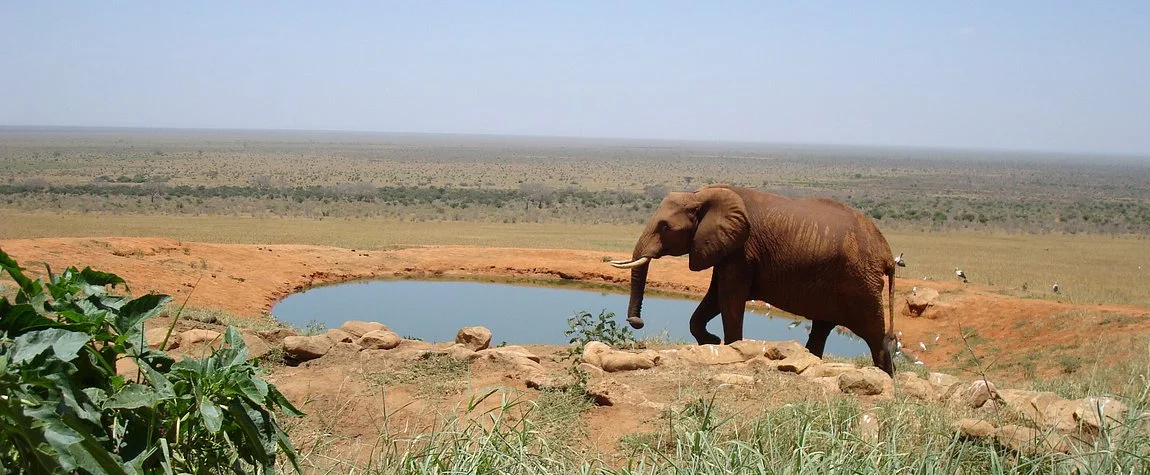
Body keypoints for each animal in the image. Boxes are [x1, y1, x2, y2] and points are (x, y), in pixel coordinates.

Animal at [611, 184, 897, 374]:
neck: (701, 195)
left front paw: (727, 347)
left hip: (860, 283)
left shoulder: (742, 251)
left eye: (664, 227)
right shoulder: (725, 248)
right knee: (821, 328)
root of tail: (887, 253)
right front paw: (712, 341)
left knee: (875, 336)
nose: (637, 322)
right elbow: (714, 299)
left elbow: (729, 299)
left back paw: (886, 378)